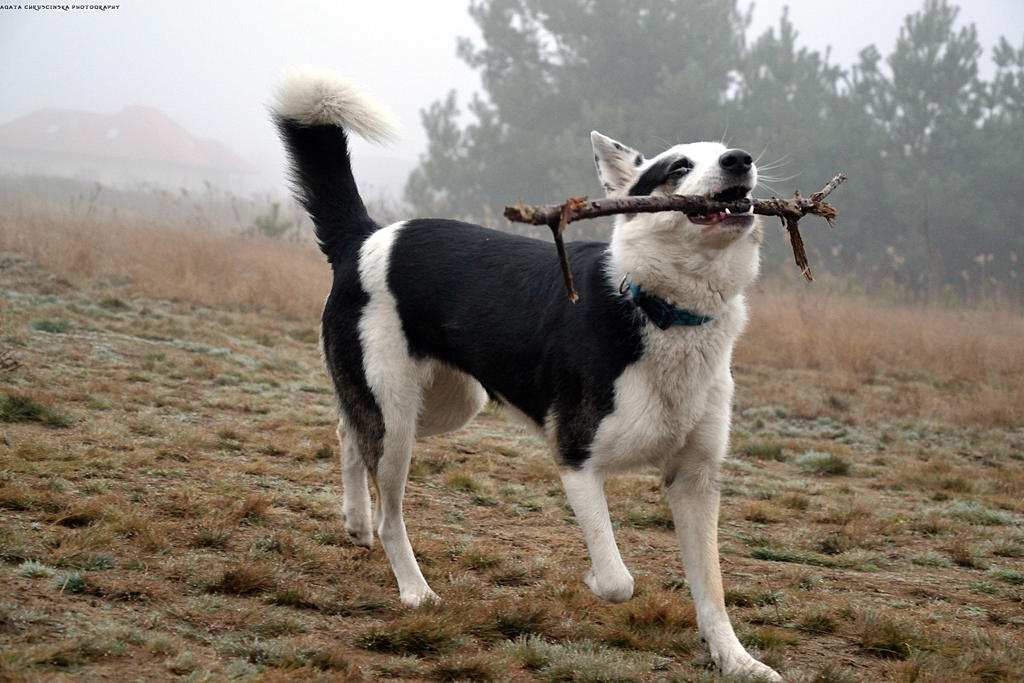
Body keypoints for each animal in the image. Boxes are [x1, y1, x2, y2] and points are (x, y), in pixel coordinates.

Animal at [274, 66, 782, 679]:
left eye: (727, 152)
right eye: (679, 167)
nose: (740, 159)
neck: (661, 308)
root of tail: (364, 237)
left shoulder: (696, 479)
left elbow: (712, 589)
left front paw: (736, 660)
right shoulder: (577, 459)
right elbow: (618, 580)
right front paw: (593, 580)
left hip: (444, 405)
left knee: (348, 426)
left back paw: (355, 521)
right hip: (398, 421)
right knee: (390, 508)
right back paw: (414, 589)